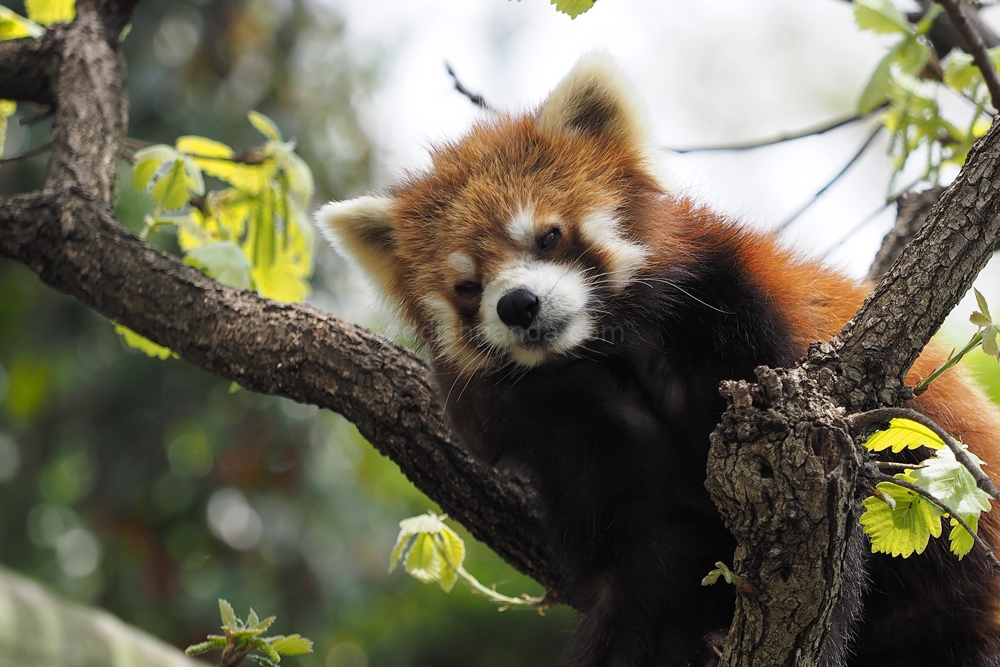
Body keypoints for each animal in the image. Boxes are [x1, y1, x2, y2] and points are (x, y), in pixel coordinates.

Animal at [316, 54, 1000, 664]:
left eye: (548, 236)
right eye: (466, 286)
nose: (516, 304)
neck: (612, 354)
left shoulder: (756, 341)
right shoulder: (585, 438)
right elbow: (647, 579)